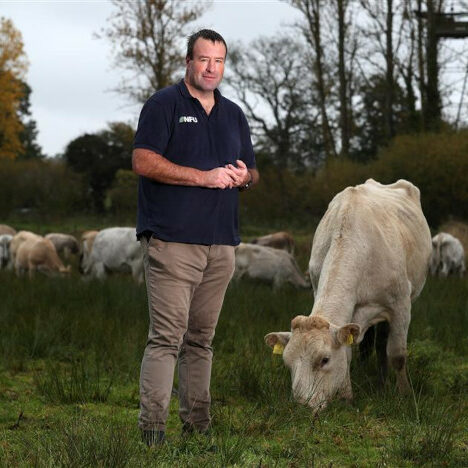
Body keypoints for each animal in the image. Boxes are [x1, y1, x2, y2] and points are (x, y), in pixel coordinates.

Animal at [264, 179, 432, 414]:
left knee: (383, 345)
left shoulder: (400, 307)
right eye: (288, 362)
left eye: (324, 360)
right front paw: (347, 396)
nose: (301, 406)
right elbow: (348, 352)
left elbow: (397, 355)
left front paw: (405, 394)